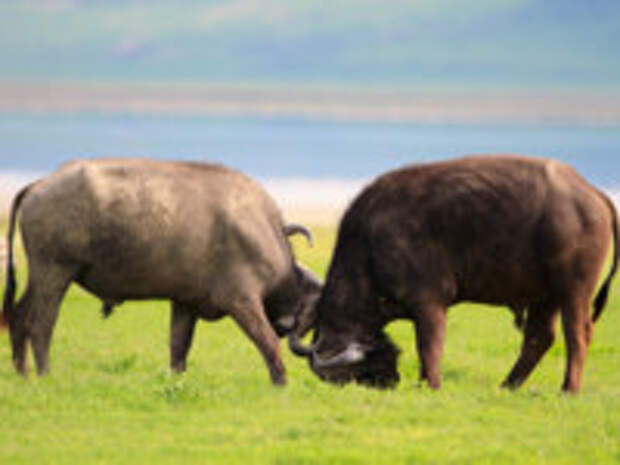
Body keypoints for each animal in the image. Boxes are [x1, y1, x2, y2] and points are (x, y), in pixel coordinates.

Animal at [0, 158, 320, 382]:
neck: (261, 230)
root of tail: (39, 184)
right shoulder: (242, 302)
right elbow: (267, 342)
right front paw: (281, 383)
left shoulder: (185, 304)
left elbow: (178, 348)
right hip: (54, 274)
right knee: (41, 325)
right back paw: (45, 374)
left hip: (40, 277)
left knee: (19, 317)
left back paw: (23, 374)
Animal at [292, 155, 620, 392]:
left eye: (347, 373)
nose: (386, 384)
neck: (371, 242)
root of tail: (593, 193)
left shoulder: (429, 303)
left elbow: (429, 345)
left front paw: (430, 384)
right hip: (544, 296)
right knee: (539, 338)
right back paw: (507, 386)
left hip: (573, 291)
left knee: (577, 335)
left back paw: (568, 389)